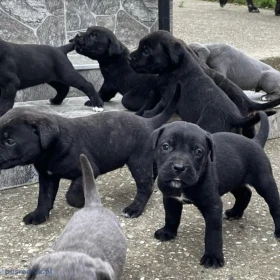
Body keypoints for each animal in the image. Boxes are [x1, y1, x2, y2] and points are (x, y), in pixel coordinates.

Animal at [0, 82, 180, 224]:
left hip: (138, 162)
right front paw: (39, 215)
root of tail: (148, 122)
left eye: (10, 141)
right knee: (152, 175)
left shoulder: (88, 169)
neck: (51, 147)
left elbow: (71, 195)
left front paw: (82, 202)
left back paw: (134, 209)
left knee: (144, 186)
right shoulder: (47, 176)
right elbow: (44, 197)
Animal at [131, 31, 272, 134]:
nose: (129, 57)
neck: (175, 68)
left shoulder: (168, 96)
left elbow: (159, 106)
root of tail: (234, 118)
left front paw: (148, 114)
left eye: (146, 51)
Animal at [152, 111, 280, 270]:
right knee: (245, 193)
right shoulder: (170, 198)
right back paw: (234, 213)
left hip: (264, 182)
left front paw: (213, 257)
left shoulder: (213, 206)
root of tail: (255, 142)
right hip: (234, 179)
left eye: (198, 151)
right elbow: (171, 216)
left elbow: (213, 233)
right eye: (165, 146)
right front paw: (168, 232)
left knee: (274, 205)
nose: (179, 167)